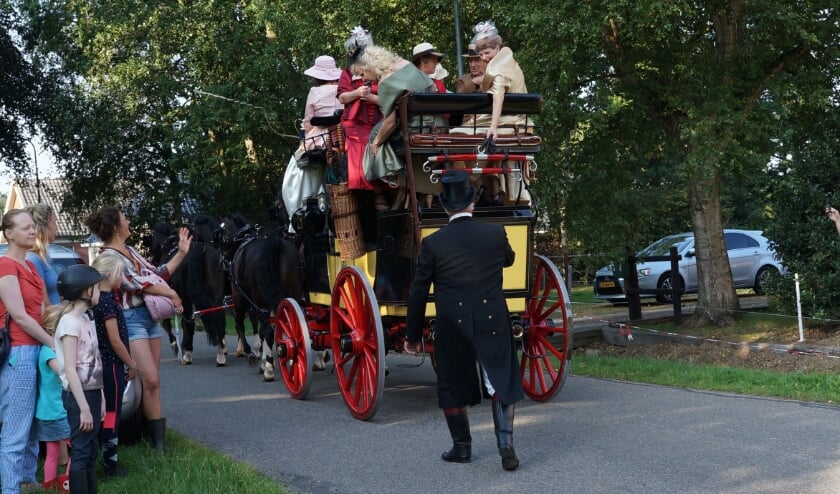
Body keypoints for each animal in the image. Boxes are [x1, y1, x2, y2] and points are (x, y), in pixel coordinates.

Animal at [218, 213, 304, 382]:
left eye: (222, 231)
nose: (222, 260)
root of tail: (277, 245)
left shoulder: (240, 297)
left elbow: (242, 325)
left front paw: (253, 354)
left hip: (257, 300)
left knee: (268, 330)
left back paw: (269, 369)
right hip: (292, 293)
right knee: (292, 323)